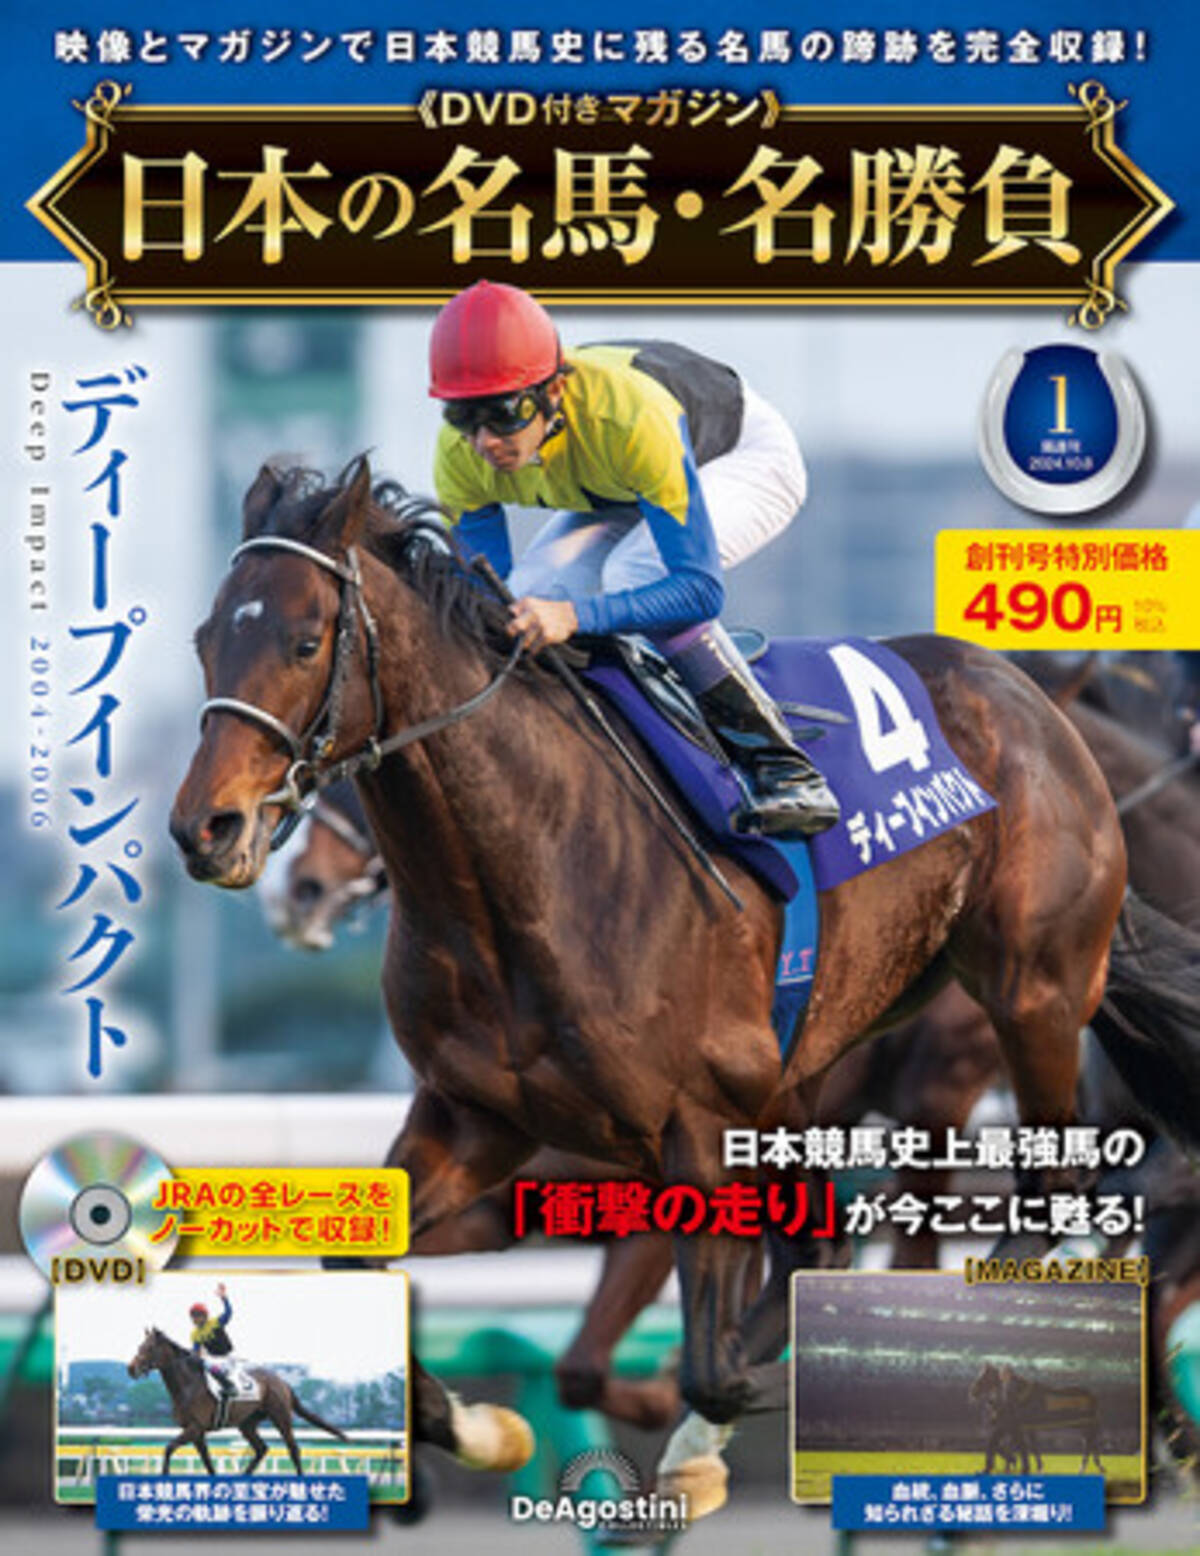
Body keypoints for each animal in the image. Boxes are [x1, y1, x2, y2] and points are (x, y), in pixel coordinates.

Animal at [127, 1327, 347, 1474]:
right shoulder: (197, 1432)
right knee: (261, 1449)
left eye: (149, 1348)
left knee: (293, 1449)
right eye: (139, 1346)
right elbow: (207, 1462)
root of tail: (282, 1382)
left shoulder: (195, 1428)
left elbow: (168, 1448)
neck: (187, 1385)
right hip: (247, 1423)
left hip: (280, 1416)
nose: (131, 1368)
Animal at [969, 1362, 1102, 1474]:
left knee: (1089, 1445)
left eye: (984, 1378)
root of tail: (1092, 1395)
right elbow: (1017, 1446)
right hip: (1084, 1426)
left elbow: (1021, 1447)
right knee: (1090, 1444)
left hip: (1086, 1425)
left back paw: (1084, 1468)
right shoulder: (1016, 1427)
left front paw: (1024, 1467)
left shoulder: (1016, 1427)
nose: (973, 1392)